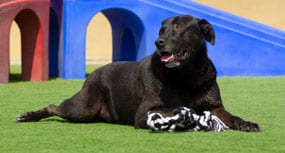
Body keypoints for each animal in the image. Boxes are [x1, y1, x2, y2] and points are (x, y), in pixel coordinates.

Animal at [16, 15, 258, 131]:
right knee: (53, 107)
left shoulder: (215, 106)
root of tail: (93, 74)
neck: (186, 75)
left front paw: (245, 123)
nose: (158, 42)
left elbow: (230, 115)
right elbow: (179, 108)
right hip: (82, 108)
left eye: (179, 27)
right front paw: (189, 116)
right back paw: (28, 116)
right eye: (162, 30)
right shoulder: (144, 112)